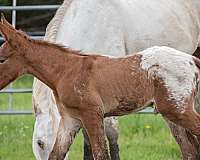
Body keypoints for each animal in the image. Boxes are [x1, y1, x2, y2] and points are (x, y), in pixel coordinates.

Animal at [1, 15, 200, 160]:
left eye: (2, 59)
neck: (66, 71)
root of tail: (192, 60)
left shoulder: (92, 114)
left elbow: (101, 154)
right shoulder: (70, 120)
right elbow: (56, 154)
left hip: (178, 110)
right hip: (171, 114)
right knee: (190, 151)